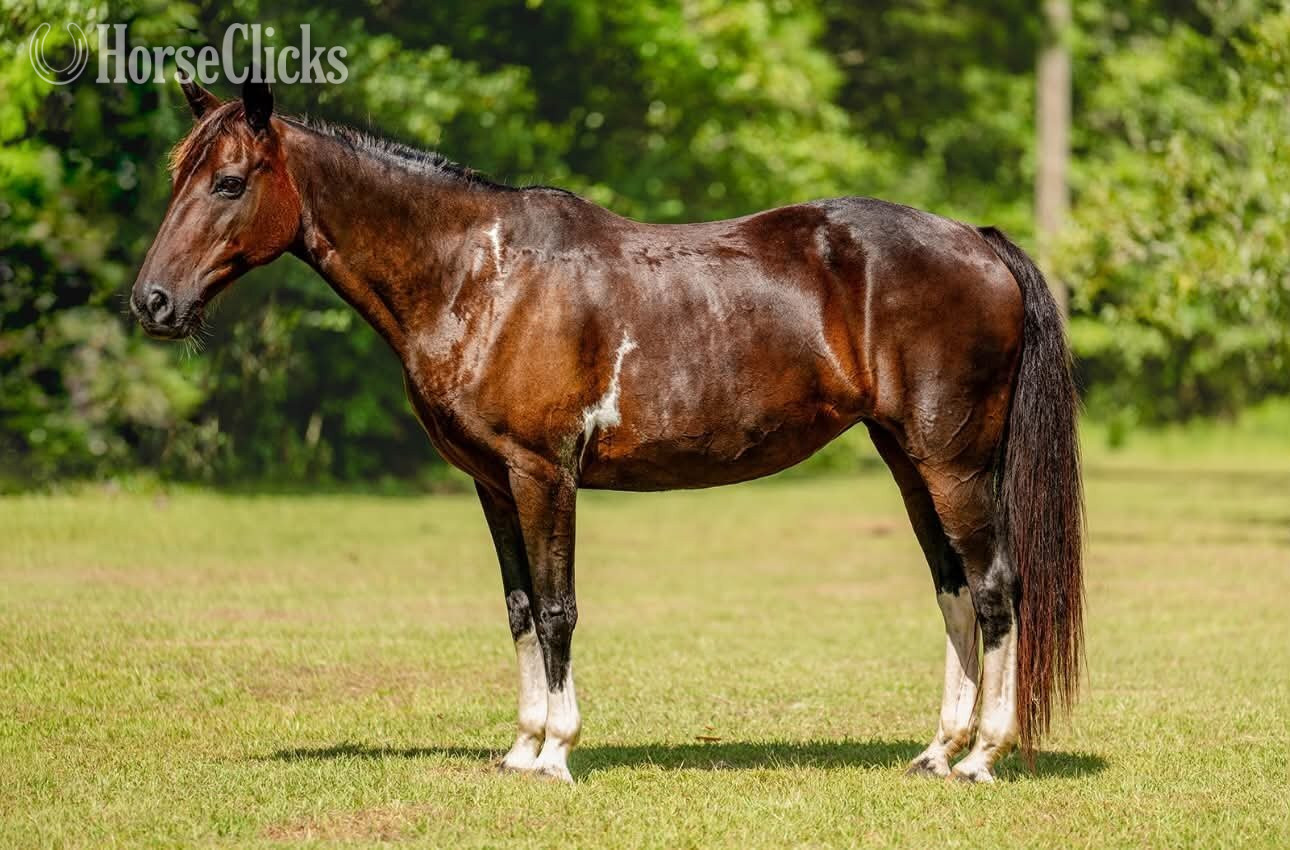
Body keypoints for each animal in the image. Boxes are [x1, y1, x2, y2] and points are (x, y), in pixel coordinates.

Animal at [131, 79, 1083, 784]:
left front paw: (556, 753)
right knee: (953, 590)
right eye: (180, 177)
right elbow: (519, 608)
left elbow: (558, 609)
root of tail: (980, 242)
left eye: (228, 182)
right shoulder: (491, 481)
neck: (479, 276)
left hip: (955, 461)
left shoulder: (543, 472)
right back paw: (937, 751)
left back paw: (983, 757)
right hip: (907, 457)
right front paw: (519, 748)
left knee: (995, 587)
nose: (152, 303)